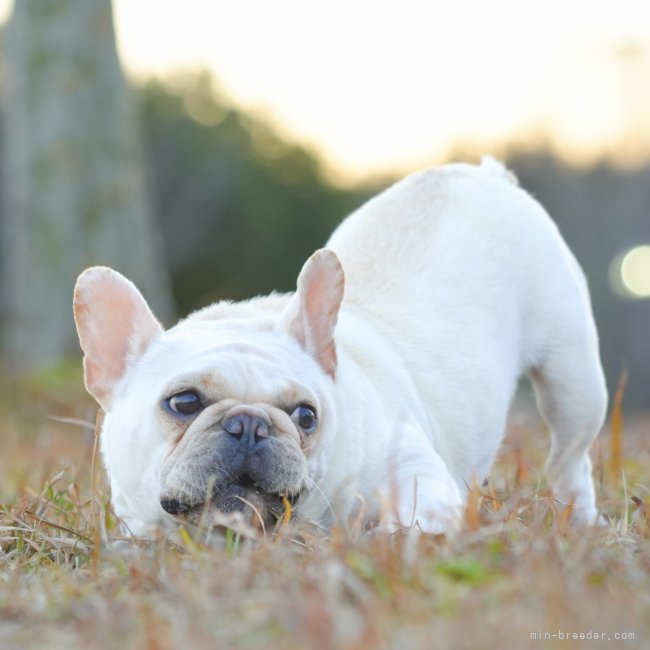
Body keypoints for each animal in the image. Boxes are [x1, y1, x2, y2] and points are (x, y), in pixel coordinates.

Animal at [73, 158, 604, 536]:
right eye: (183, 403)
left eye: (306, 415)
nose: (249, 424)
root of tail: (484, 173)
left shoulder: (409, 462)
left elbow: (422, 503)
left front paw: (405, 538)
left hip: (572, 378)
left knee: (570, 458)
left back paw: (578, 520)